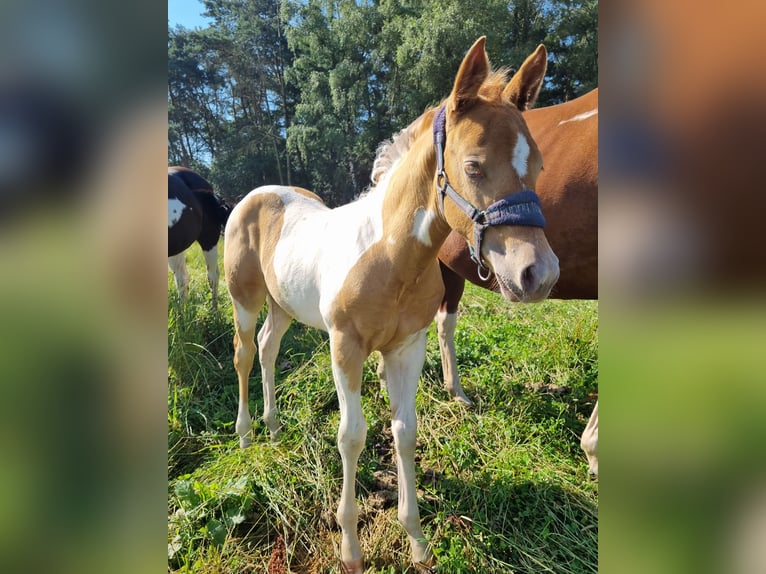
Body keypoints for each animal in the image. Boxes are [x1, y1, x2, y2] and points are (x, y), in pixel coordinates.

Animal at [222, 38, 560, 572]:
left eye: (540, 166)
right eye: (474, 166)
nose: (538, 274)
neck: (392, 258)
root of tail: (259, 192)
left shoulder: (407, 347)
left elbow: (404, 431)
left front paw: (416, 538)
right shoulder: (345, 346)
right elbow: (352, 435)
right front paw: (350, 548)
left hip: (283, 305)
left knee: (269, 347)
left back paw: (274, 428)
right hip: (245, 298)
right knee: (243, 353)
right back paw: (247, 434)